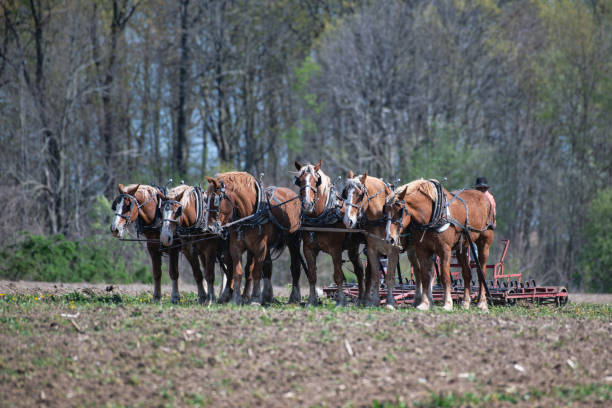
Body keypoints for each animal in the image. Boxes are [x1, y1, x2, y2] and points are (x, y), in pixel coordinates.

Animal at [206, 171, 302, 302]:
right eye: (206, 198)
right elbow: (238, 271)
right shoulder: (235, 247)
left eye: (215, 200)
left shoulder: (260, 248)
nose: (210, 228)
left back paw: (294, 296)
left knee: (295, 267)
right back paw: (266, 295)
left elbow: (256, 271)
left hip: (293, 241)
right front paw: (236, 298)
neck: (249, 214)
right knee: (266, 267)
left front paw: (255, 298)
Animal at [340, 170, 396, 306]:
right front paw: (370, 300)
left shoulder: (389, 250)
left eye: (360, 195)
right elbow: (371, 274)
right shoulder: (370, 248)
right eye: (345, 193)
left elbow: (384, 275)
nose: (348, 221)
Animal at [384, 180, 494, 310]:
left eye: (400, 210)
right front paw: (424, 304)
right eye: (385, 210)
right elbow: (425, 276)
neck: (430, 217)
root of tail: (484, 197)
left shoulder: (444, 250)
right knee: (467, 273)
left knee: (481, 271)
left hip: (484, 243)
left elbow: (445, 277)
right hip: (463, 246)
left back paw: (482, 303)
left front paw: (447, 304)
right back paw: (465, 302)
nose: (390, 238)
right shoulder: (422, 250)